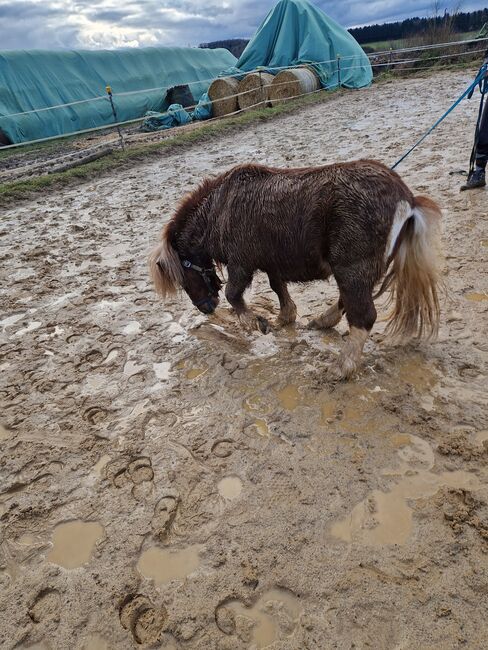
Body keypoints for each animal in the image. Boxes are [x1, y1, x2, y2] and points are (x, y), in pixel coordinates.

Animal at [150, 159, 442, 378]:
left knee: (363, 315)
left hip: (351, 269)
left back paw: (342, 367)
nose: (205, 308)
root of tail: (407, 200)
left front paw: (256, 323)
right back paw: (322, 322)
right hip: (354, 271)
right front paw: (284, 317)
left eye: (183, 277)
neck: (219, 210)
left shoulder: (241, 264)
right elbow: (277, 287)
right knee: (347, 301)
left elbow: (234, 294)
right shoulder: (271, 263)